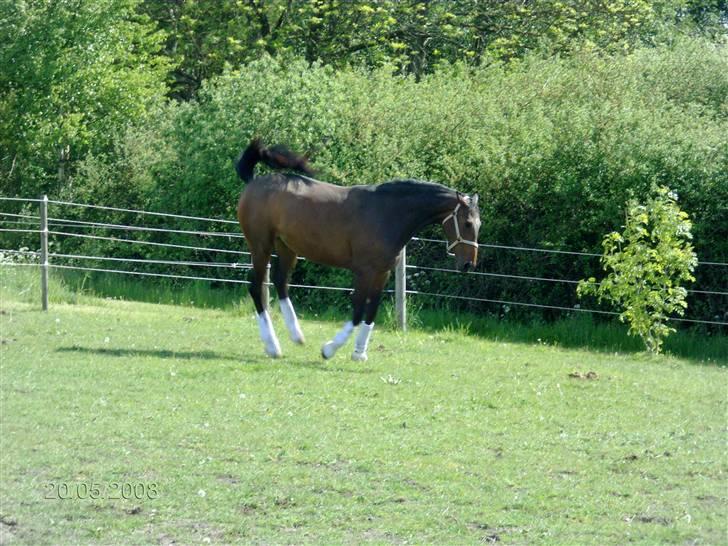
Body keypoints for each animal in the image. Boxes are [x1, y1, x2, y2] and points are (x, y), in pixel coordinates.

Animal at [236, 140, 480, 360]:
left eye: (479, 224)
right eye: (467, 223)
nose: (468, 264)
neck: (387, 213)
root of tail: (255, 182)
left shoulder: (382, 273)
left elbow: (371, 311)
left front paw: (359, 353)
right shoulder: (364, 271)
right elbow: (358, 310)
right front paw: (330, 349)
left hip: (286, 247)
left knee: (280, 282)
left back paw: (297, 336)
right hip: (260, 246)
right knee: (256, 287)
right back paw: (272, 346)